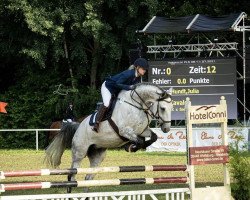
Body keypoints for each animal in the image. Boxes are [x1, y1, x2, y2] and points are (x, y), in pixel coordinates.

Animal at [44, 83, 172, 191]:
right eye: (163, 108)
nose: (166, 129)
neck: (137, 105)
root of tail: (78, 126)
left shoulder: (143, 131)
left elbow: (153, 137)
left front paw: (136, 146)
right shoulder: (124, 131)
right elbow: (139, 141)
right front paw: (131, 147)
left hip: (97, 156)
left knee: (88, 178)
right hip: (79, 154)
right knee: (72, 176)